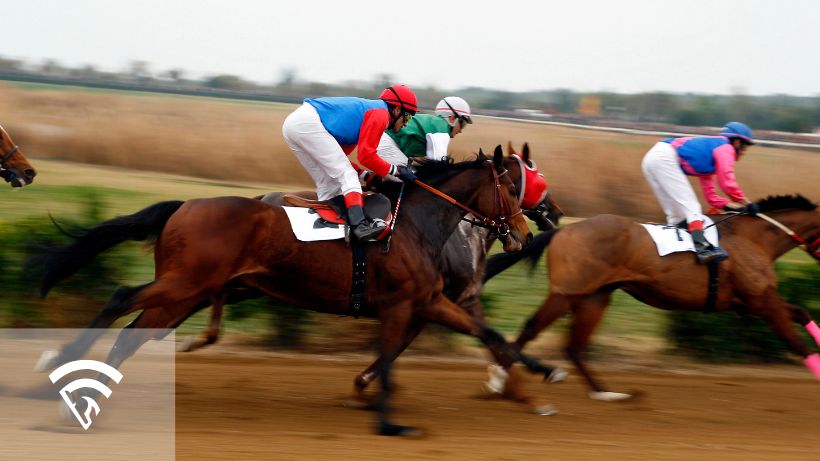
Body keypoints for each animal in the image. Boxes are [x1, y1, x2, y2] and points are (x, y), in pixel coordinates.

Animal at [36, 147, 552, 434]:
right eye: (513, 186)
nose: (526, 234)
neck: (413, 222)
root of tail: (183, 205)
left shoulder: (428, 301)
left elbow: (489, 335)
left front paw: (542, 376)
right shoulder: (402, 305)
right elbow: (388, 363)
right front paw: (388, 423)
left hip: (189, 291)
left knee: (134, 333)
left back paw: (81, 392)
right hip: (186, 283)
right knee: (120, 299)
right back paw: (61, 369)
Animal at [484, 194, 816, 398]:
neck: (754, 238)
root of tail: (562, 231)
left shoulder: (750, 305)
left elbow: (801, 312)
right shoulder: (762, 302)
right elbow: (797, 343)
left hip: (595, 297)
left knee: (574, 346)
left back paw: (607, 393)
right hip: (567, 293)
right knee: (532, 329)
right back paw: (499, 380)